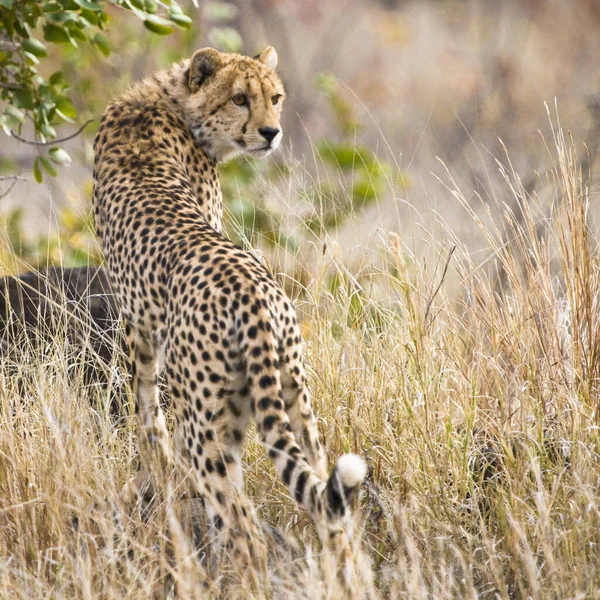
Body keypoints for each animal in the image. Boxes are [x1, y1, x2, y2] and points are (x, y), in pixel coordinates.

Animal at [93, 48, 366, 592]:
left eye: (274, 98)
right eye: (240, 98)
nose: (271, 133)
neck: (171, 100)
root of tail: (254, 293)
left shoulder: (140, 329)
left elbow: (148, 415)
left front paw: (156, 479)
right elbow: (148, 418)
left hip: (213, 429)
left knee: (245, 529)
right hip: (289, 396)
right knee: (324, 498)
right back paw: (341, 575)